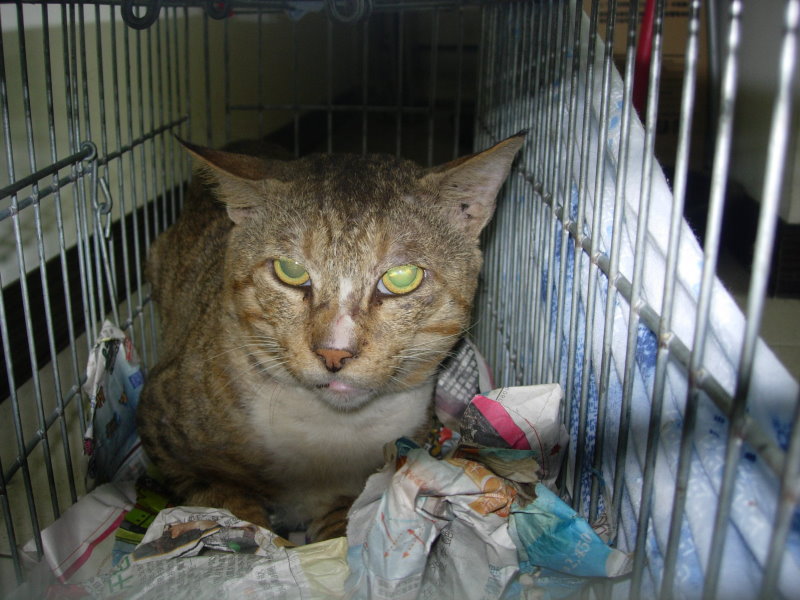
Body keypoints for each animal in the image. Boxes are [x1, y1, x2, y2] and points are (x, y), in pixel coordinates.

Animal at [136, 132, 524, 541]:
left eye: (402, 277)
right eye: (289, 270)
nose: (334, 353)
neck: (331, 425)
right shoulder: (163, 430)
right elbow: (221, 498)